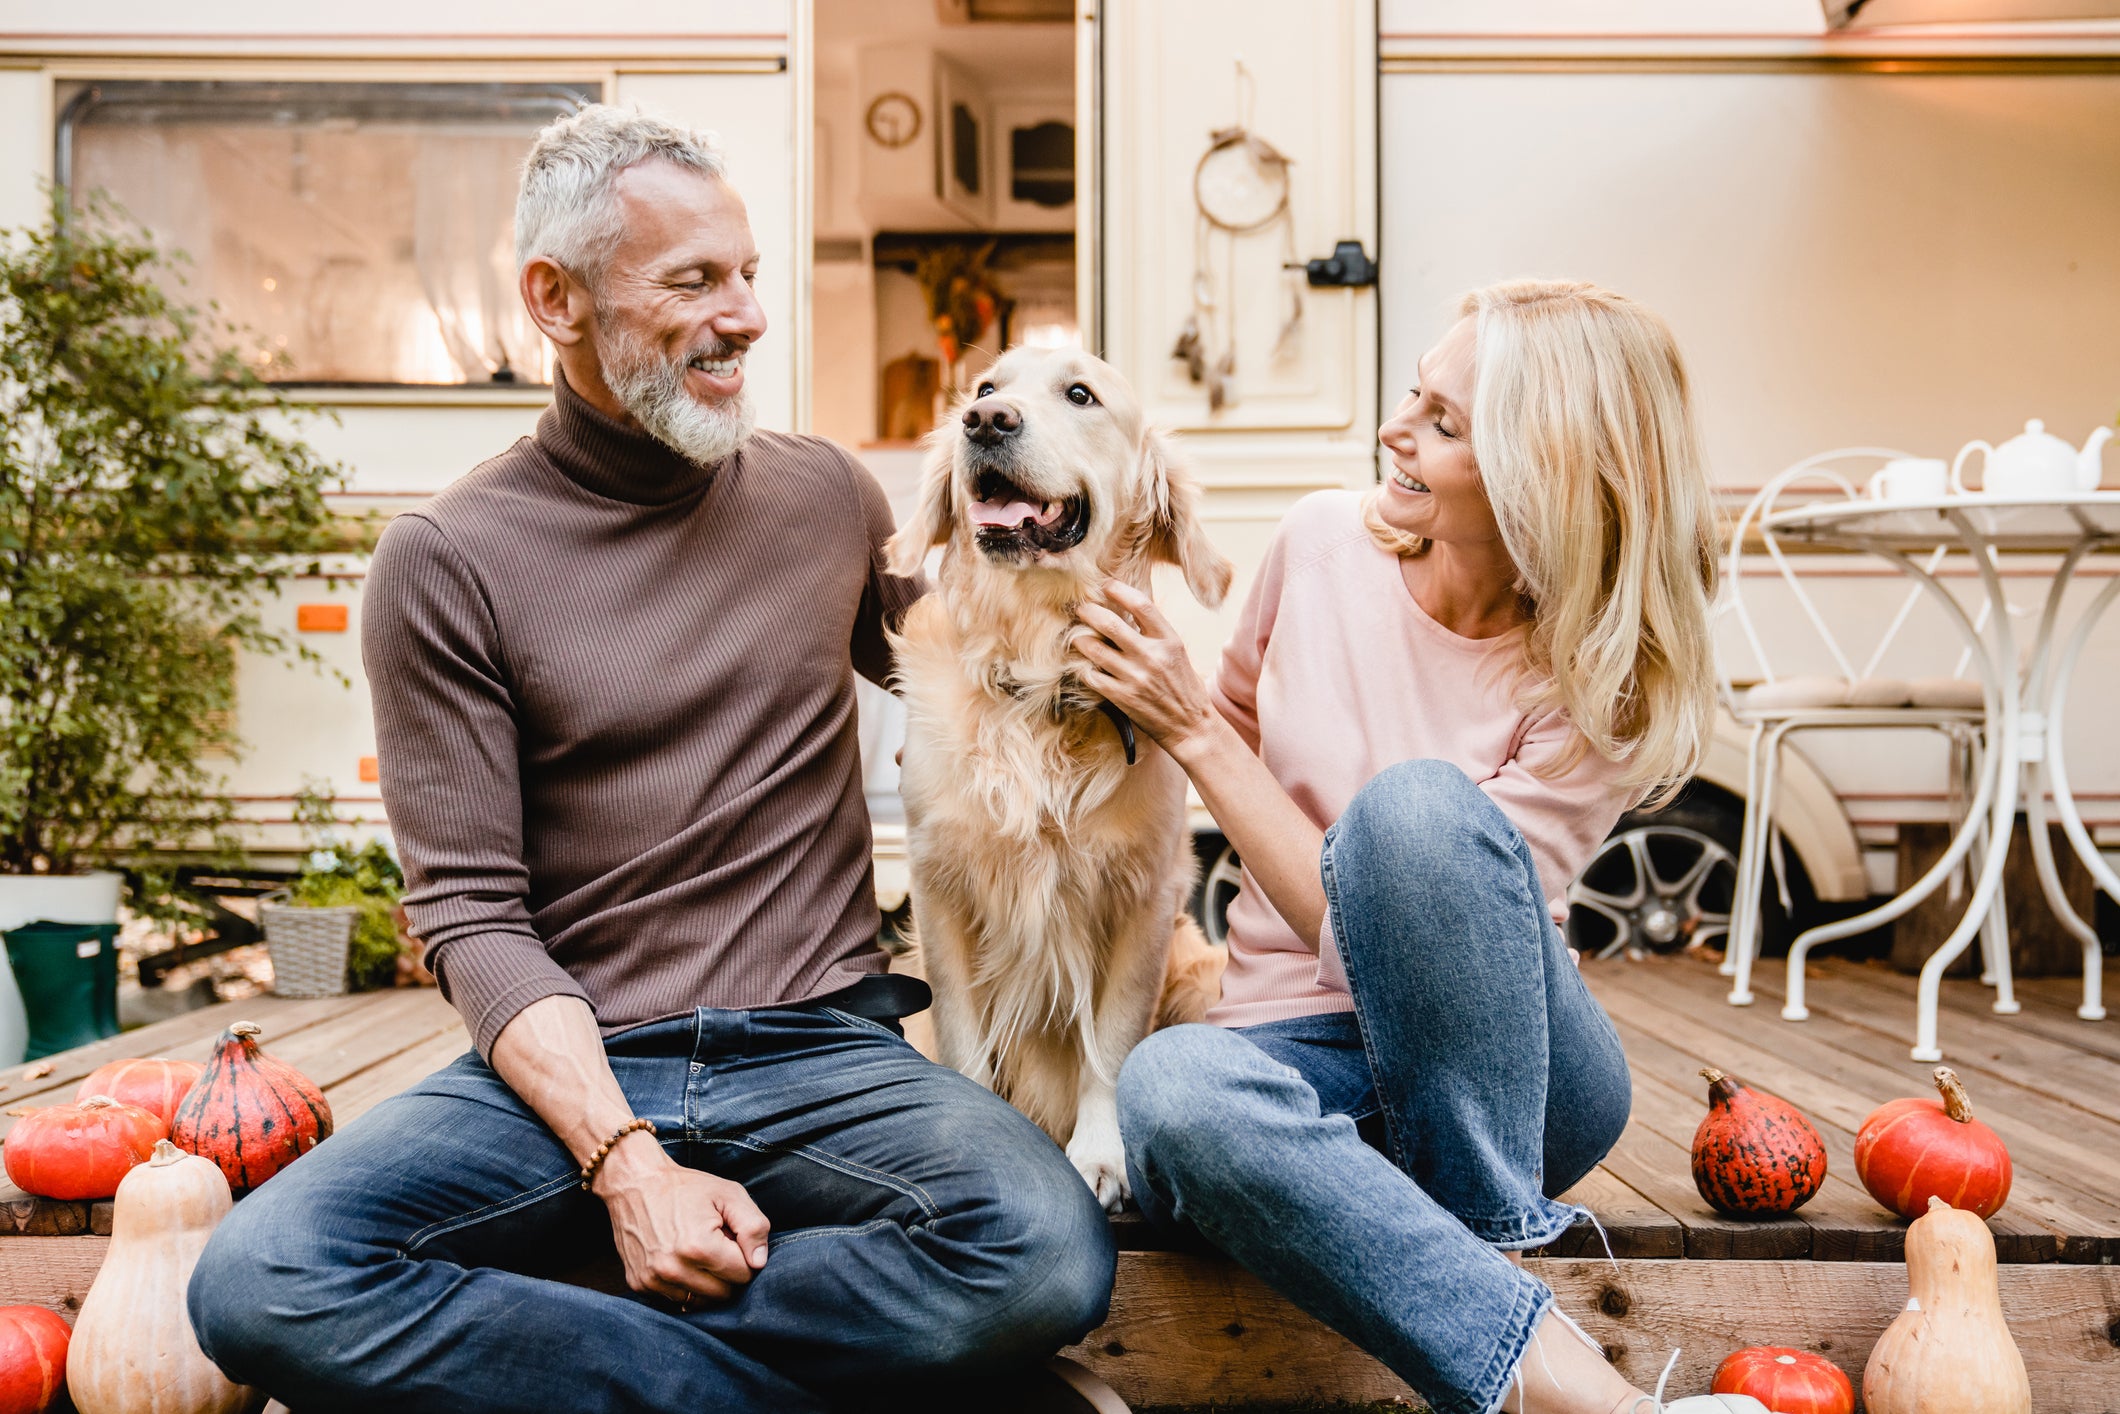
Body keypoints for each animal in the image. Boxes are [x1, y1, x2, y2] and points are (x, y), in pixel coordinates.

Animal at [886, 347, 1238, 1212]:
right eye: (985, 389)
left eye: (1081, 394)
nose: (985, 423)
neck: (1038, 674)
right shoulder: (941, 889)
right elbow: (966, 1037)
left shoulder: (1145, 894)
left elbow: (1110, 1044)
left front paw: (1102, 1156)